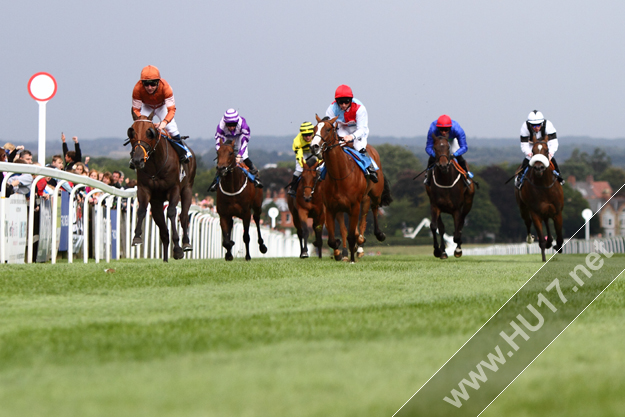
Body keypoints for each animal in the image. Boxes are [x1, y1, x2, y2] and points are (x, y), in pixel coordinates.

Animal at [126, 110, 195, 260]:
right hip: (157, 203)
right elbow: (141, 210)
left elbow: (171, 212)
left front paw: (178, 249)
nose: (137, 160)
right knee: (163, 229)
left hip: (187, 189)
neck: (156, 163)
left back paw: (186, 243)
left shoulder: (174, 189)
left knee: (183, 216)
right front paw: (136, 238)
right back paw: (165, 257)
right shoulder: (145, 190)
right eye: (131, 132)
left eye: (149, 132)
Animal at [310, 115, 392, 262]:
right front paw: (340, 252)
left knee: (372, 212)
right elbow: (334, 238)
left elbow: (352, 235)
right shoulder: (331, 207)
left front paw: (352, 257)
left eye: (328, 129)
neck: (339, 175)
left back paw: (374, 236)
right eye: (314, 129)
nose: (314, 146)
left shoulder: (354, 206)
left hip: (372, 196)